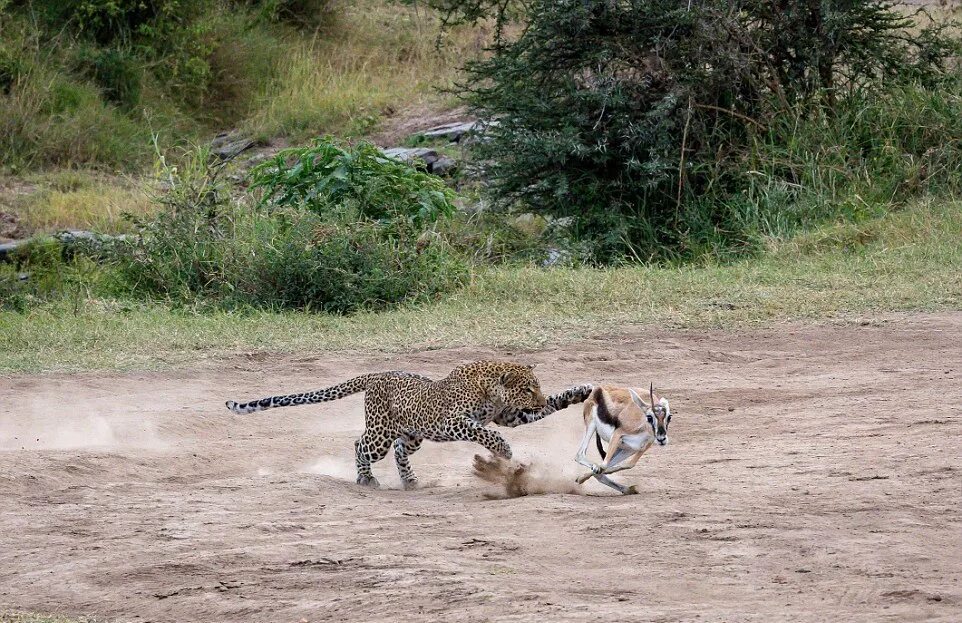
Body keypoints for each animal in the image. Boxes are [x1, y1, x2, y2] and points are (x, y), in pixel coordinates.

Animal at [225, 364, 588, 490]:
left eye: (536, 388)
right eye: (527, 388)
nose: (536, 398)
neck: (491, 390)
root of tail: (376, 374)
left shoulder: (511, 416)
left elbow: (550, 407)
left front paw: (578, 392)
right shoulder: (453, 421)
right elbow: (484, 432)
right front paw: (504, 450)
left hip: (412, 435)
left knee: (400, 449)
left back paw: (410, 480)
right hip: (380, 434)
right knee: (359, 445)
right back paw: (366, 479)